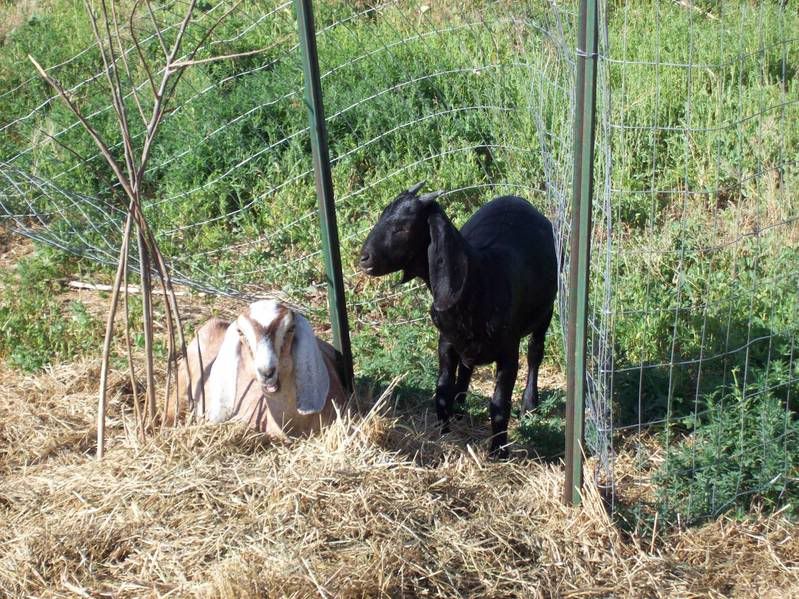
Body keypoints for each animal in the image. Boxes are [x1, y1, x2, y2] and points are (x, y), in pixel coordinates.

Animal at [359, 181, 558, 457]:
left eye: (403, 227)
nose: (363, 258)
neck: (481, 277)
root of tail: (516, 198)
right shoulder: (446, 342)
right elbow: (442, 390)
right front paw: (445, 434)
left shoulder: (508, 351)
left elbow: (499, 403)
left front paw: (498, 450)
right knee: (466, 369)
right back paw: (462, 406)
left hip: (546, 312)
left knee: (535, 352)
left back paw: (530, 404)